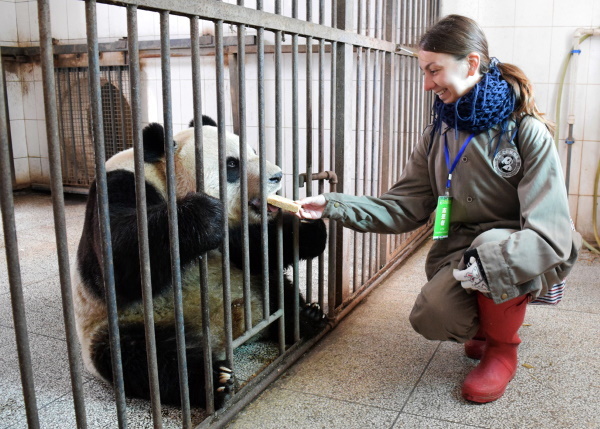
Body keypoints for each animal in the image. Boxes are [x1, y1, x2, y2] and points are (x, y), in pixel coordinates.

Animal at [75, 116, 330, 408]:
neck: (166, 179)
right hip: (120, 325)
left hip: (254, 286)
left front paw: (310, 228)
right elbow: (117, 267)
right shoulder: (119, 186)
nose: (277, 176)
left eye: (254, 151)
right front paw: (203, 215)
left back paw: (306, 317)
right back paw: (216, 381)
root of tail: (222, 336)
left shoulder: (235, 237)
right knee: (147, 359)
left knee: (278, 292)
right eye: (232, 164)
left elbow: (254, 249)